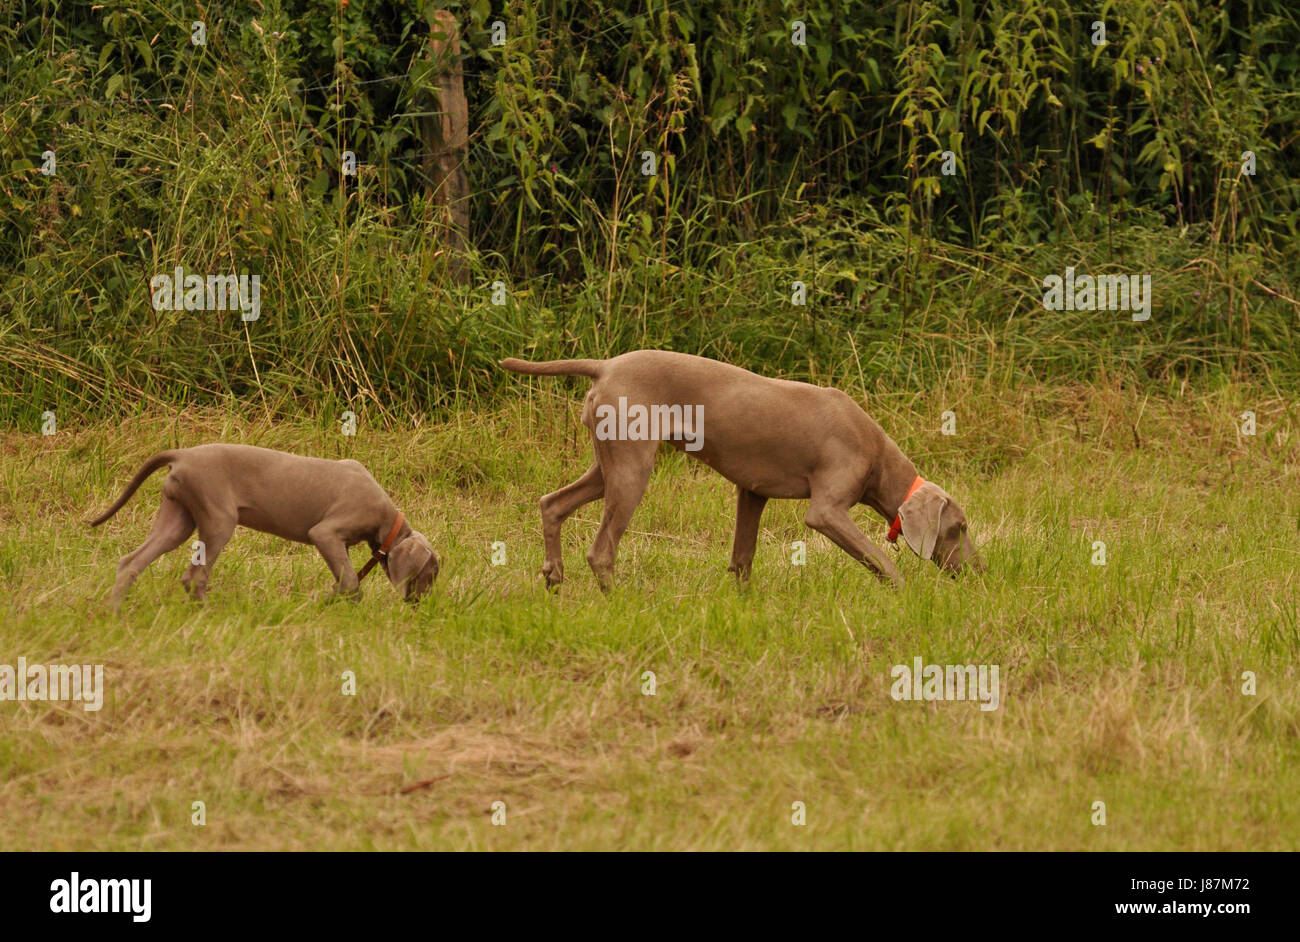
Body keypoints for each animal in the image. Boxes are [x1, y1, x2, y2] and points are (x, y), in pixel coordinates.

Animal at [90, 444, 441, 605]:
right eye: (430, 573)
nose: (418, 607)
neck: (387, 518)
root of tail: (183, 454)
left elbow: (346, 580)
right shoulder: (326, 534)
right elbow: (352, 582)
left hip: (178, 518)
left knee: (131, 561)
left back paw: (114, 610)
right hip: (219, 520)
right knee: (194, 577)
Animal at [501, 348, 977, 592]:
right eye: (961, 527)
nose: (979, 572)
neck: (878, 452)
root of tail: (606, 365)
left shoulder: (753, 491)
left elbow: (743, 556)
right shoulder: (826, 511)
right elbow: (880, 560)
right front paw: (908, 595)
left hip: (609, 463)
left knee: (552, 503)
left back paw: (553, 577)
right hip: (632, 468)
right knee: (601, 550)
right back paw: (617, 600)